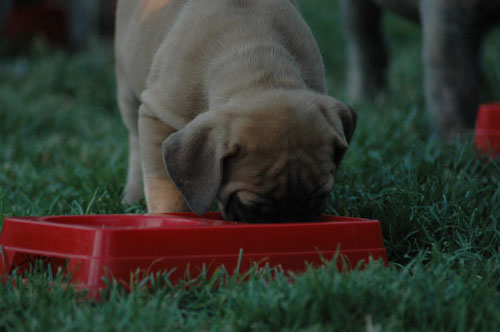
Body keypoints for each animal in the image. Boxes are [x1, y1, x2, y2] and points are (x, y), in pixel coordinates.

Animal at [114, 0, 356, 223]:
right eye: (248, 205)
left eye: (321, 197)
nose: (289, 220)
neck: (259, 66)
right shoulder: (158, 114)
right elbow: (164, 186)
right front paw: (168, 217)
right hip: (127, 90)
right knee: (135, 143)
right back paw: (132, 195)